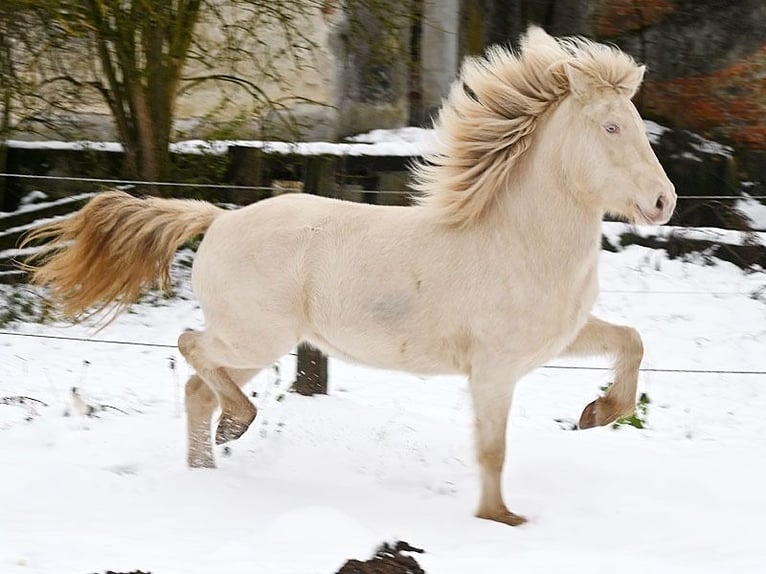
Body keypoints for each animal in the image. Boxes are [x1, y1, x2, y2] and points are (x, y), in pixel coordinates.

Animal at [23, 27, 675, 526]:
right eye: (611, 127)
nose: (664, 202)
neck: (517, 241)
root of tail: (219, 218)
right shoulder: (493, 368)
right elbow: (493, 448)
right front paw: (501, 520)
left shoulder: (557, 339)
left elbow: (632, 341)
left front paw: (596, 413)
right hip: (255, 337)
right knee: (191, 349)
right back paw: (239, 424)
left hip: (254, 345)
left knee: (196, 391)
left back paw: (210, 467)